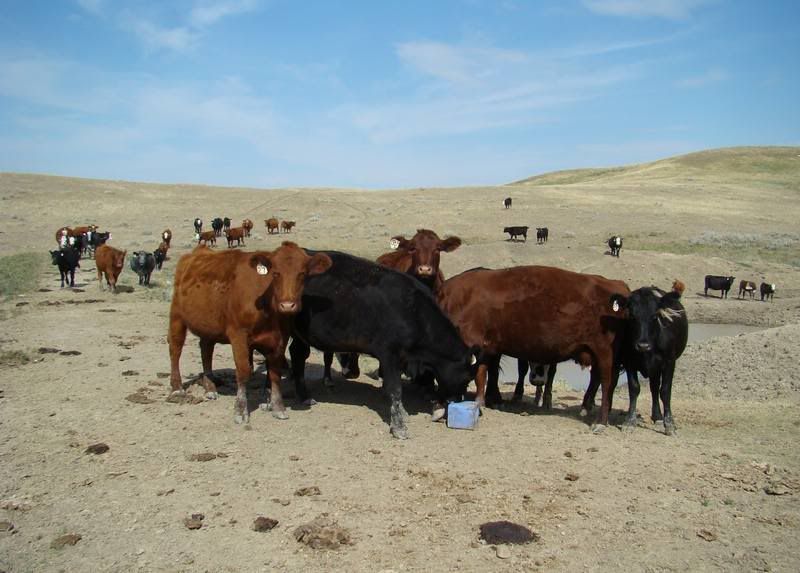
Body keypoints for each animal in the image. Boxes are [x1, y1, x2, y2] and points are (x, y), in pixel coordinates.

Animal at [168, 242, 333, 424]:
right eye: (275, 273)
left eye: (302, 274)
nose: (288, 305)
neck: (267, 309)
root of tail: (198, 252)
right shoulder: (238, 335)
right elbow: (243, 371)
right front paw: (240, 410)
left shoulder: (280, 338)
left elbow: (275, 373)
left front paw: (278, 407)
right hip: (176, 317)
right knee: (175, 349)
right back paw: (177, 387)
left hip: (209, 324)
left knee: (206, 349)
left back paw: (210, 387)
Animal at [288, 250, 475, 439]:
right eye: (467, 378)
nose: (457, 400)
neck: (413, 311)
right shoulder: (389, 355)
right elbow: (395, 389)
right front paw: (399, 427)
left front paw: (403, 413)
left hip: (299, 335)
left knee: (297, 354)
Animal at [436, 266, 630, 432]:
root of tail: (616, 285)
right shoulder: (484, 348)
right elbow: (482, 374)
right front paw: (480, 401)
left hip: (604, 353)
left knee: (606, 383)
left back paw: (600, 421)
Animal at [582, 280, 688, 436]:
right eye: (632, 316)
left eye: (655, 316)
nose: (643, 345)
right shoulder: (629, 362)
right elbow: (634, 388)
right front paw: (629, 421)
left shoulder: (669, 362)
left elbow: (665, 391)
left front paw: (670, 424)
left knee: (655, 389)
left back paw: (658, 417)